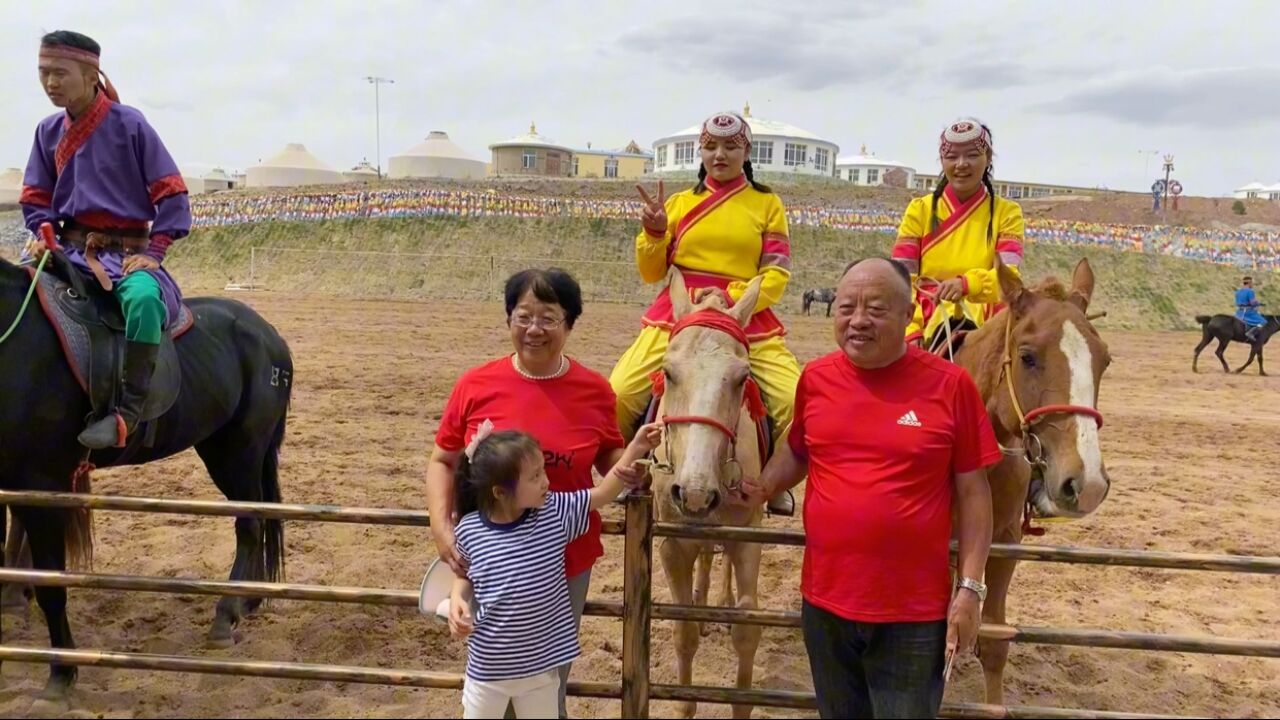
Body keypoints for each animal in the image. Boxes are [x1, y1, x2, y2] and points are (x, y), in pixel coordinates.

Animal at [0, 249, 293, 702]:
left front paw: (62, 673)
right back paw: (249, 602)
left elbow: (50, 583)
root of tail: (269, 335)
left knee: (250, 524)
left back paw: (226, 615)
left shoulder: (42, 480)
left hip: (239, 452)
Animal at [645, 269, 762, 717]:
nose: (695, 494)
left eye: (742, 377)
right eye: (668, 372)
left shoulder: (748, 538)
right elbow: (684, 632)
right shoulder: (672, 545)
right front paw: (684, 705)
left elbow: (748, 631)